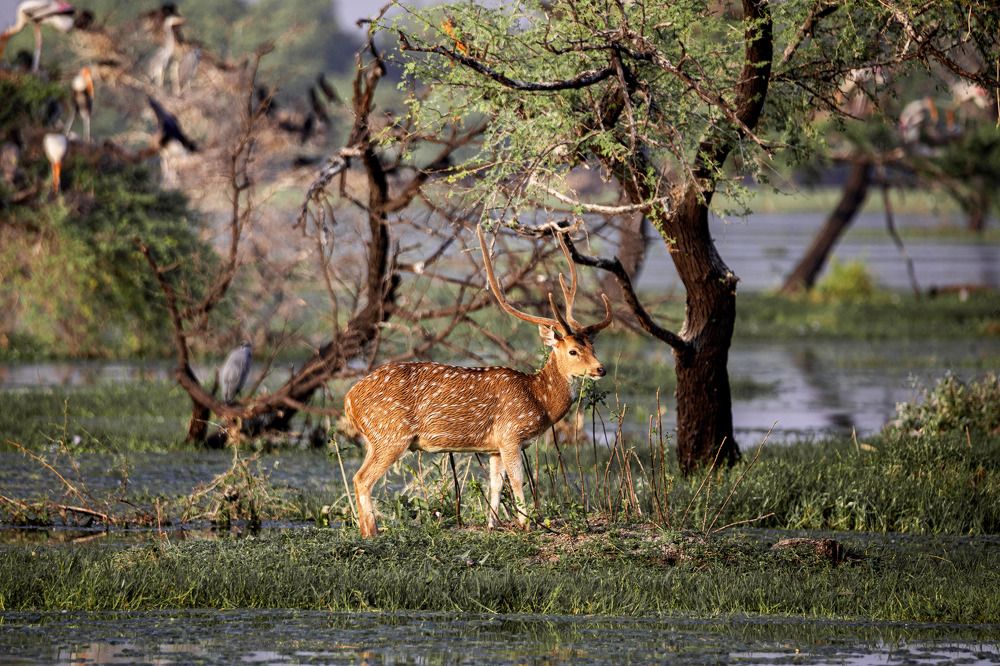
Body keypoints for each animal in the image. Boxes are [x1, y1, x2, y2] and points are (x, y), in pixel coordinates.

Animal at [343, 224, 613, 538]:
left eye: (592, 346)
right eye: (572, 351)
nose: (600, 369)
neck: (538, 400)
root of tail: (349, 400)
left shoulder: (494, 446)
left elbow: (495, 484)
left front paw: (492, 523)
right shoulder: (511, 434)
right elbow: (518, 480)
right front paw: (526, 523)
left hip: (375, 438)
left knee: (359, 476)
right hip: (391, 435)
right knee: (362, 478)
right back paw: (372, 532)